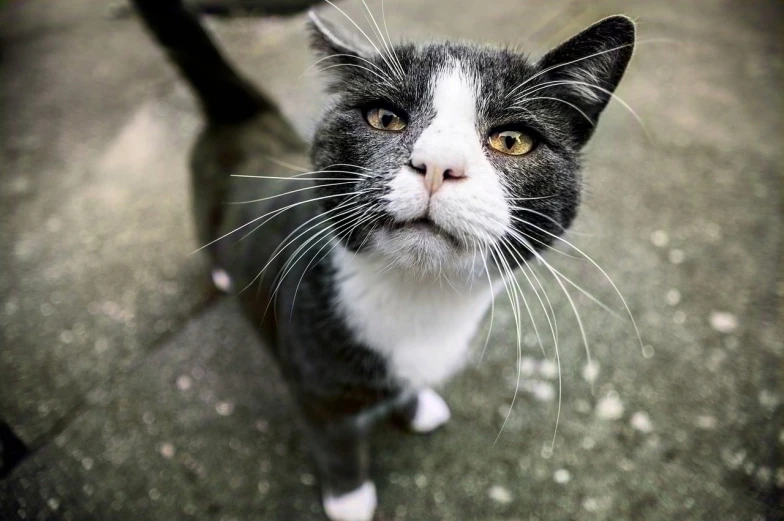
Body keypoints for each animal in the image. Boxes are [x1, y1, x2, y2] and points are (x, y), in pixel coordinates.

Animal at [133, 2, 636, 516]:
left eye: (512, 140)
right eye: (384, 118)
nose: (438, 164)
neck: (419, 296)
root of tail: (243, 113)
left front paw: (416, 408)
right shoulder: (315, 385)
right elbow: (336, 442)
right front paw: (350, 499)